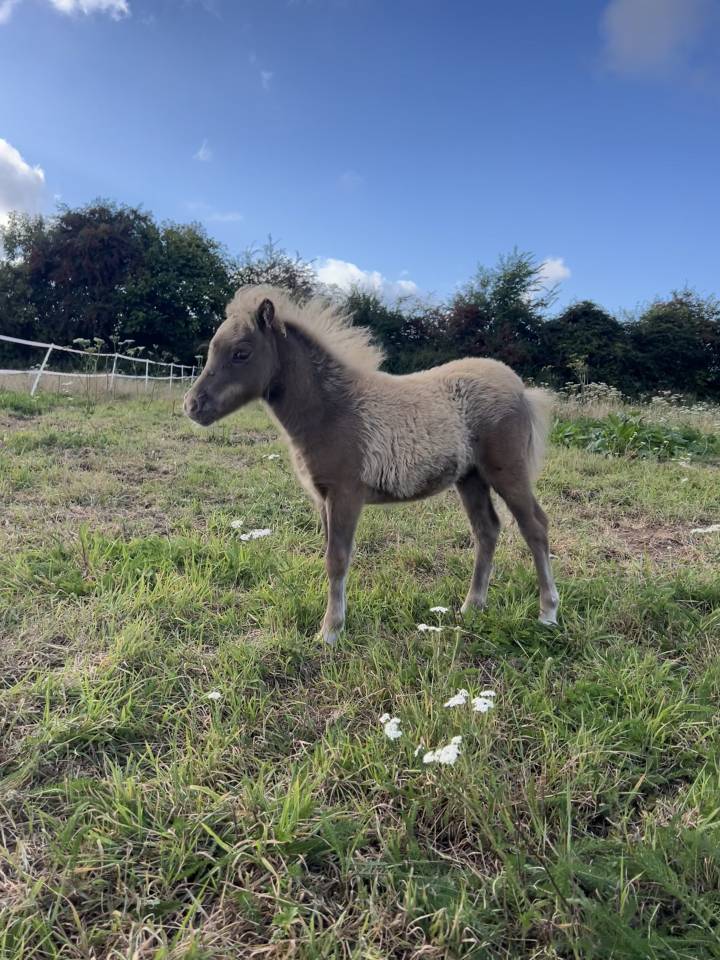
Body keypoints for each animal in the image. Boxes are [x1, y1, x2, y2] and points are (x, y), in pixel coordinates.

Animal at [184, 285, 559, 643]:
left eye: (241, 353)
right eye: (211, 350)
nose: (192, 406)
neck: (332, 408)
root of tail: (521, 389)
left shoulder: (346, 493)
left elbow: (337, 559)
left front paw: (330, 632)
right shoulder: (324, 498)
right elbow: (330, 556)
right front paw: (334, 623)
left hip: (507, 472)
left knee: (535, 527)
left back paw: (548, 614)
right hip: (470, 478)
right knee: (487, 530)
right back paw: (471, 608)